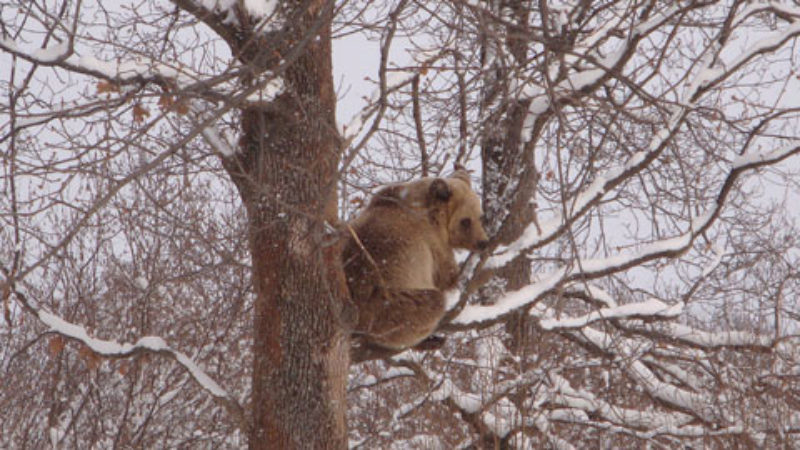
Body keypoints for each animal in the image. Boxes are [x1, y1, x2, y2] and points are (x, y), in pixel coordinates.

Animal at [340, 170, 488, 358]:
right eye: (466, 221)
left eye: (480, 217)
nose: (483, 242)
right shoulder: (433, 246)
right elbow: (448, 276)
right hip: (389, 304)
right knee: (431, 304)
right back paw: (428, 339)